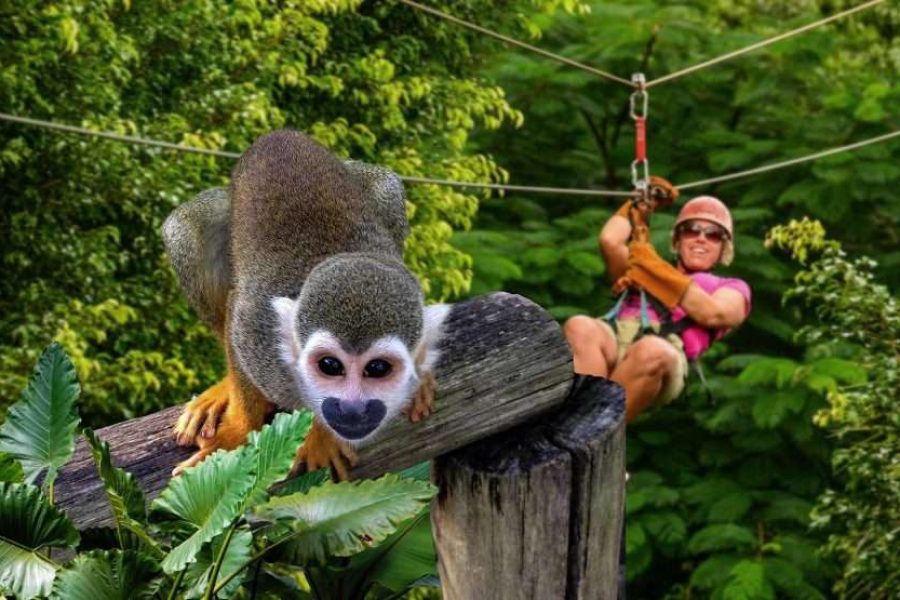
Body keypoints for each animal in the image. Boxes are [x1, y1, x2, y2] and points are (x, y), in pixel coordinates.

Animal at [162, 129, 447, 479]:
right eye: (331, 367)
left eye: (379, 370)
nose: (356, 408)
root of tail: (281, 134)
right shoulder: (258, 328)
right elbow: (236, 325)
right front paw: (237, 433)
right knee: (185, 230)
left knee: (387, 188)